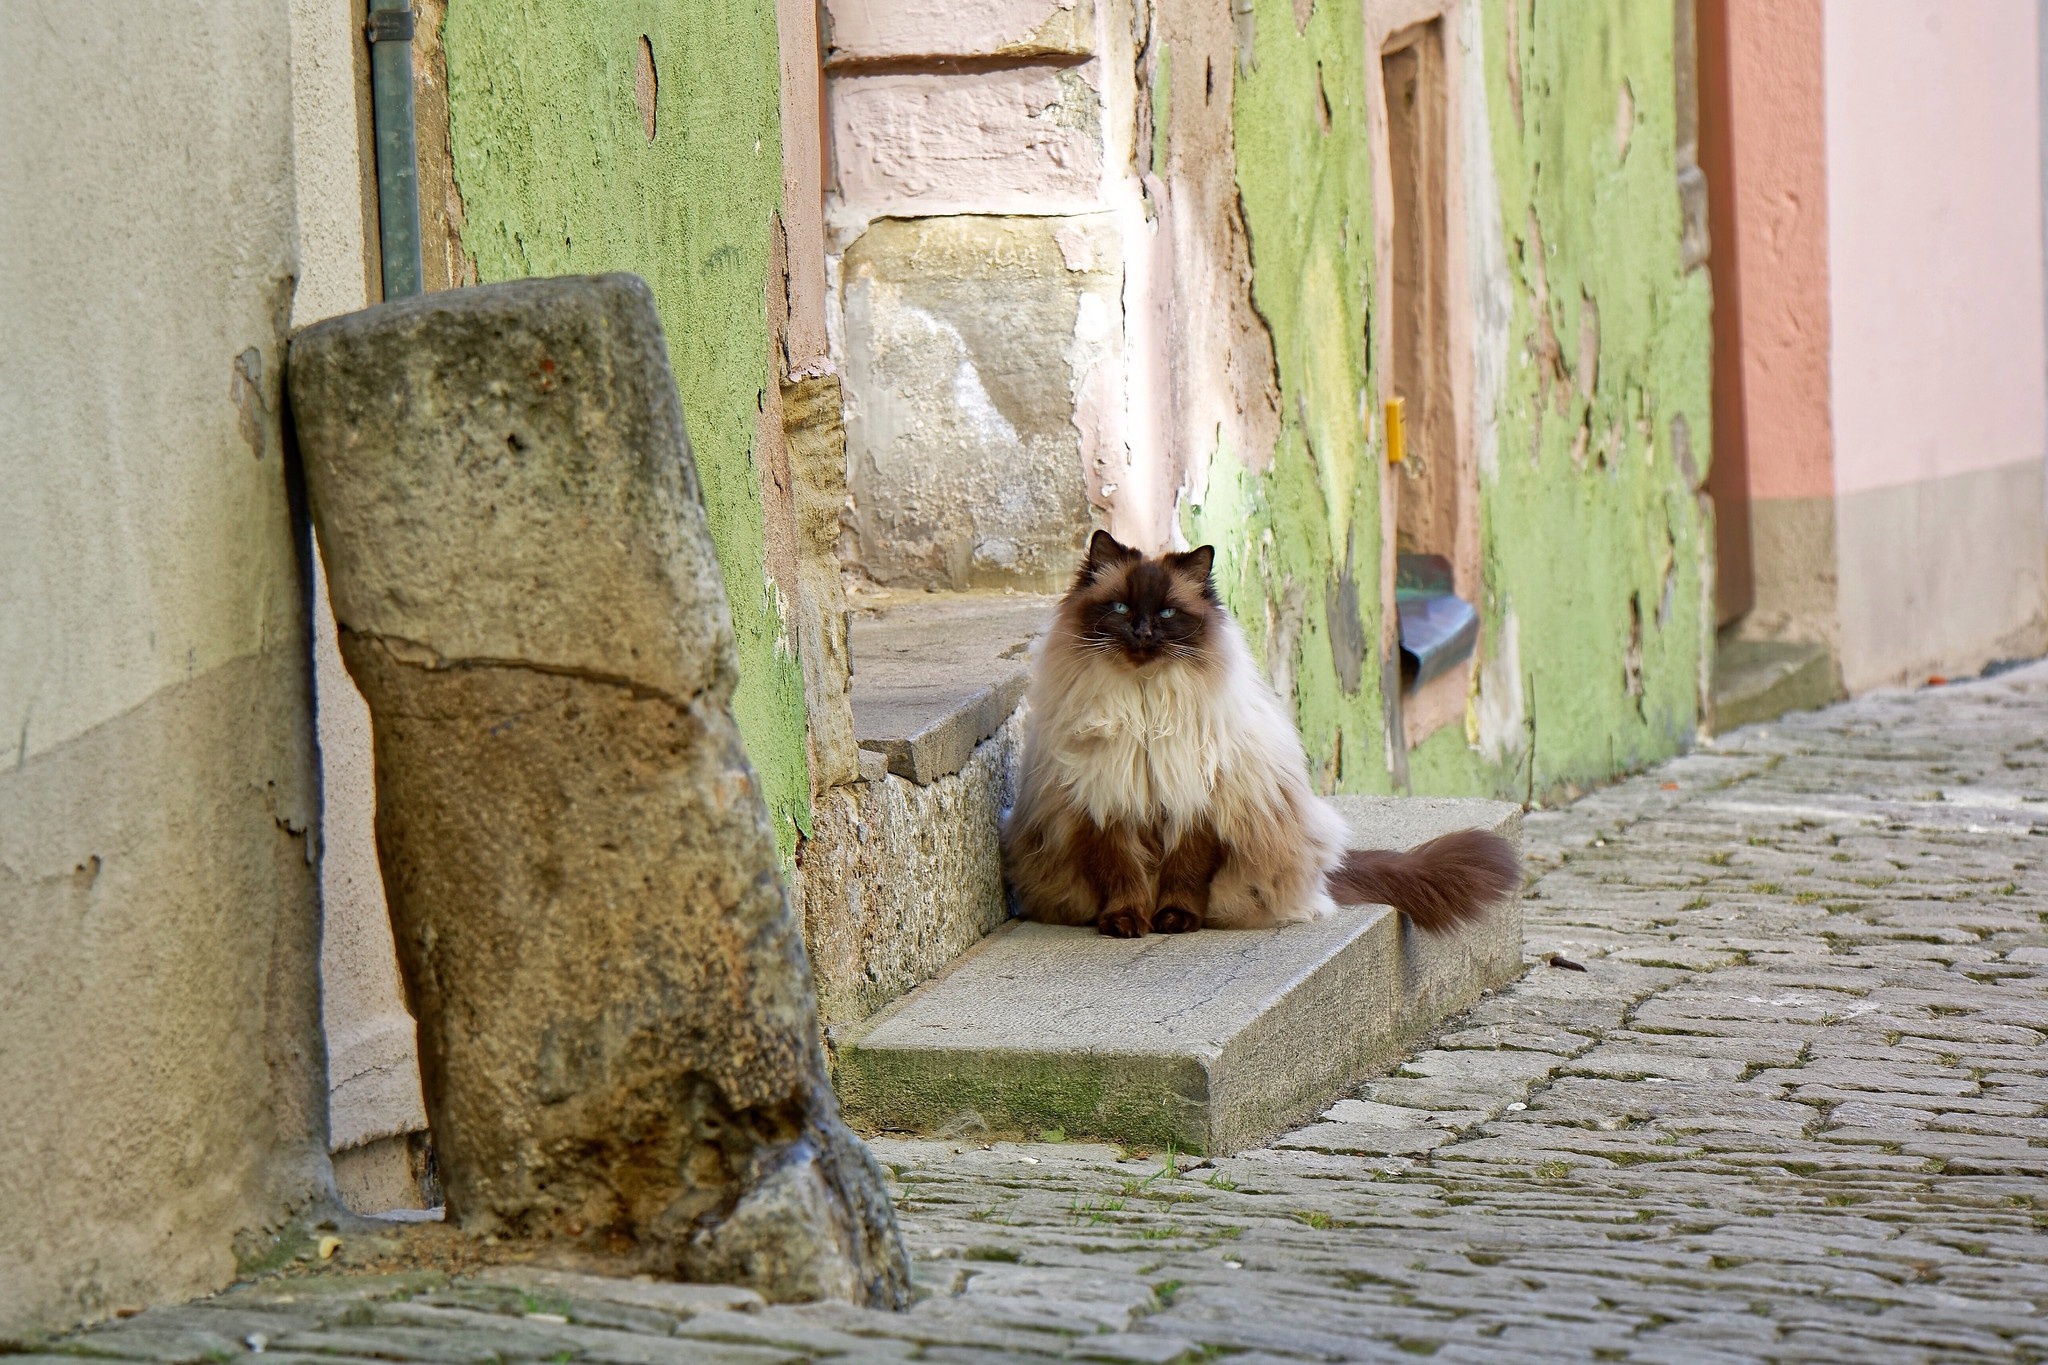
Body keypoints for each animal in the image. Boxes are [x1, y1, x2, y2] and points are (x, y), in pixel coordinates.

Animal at [1007, 532, 1523, 941]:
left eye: (1169, 613)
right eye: (1120, 607)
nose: (1143, 631)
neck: (1146, 709)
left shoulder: (1200, 802)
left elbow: (1184, 875)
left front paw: (1174, 922)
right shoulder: (1107, 801)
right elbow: (1123, 877)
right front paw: (1126, 925)